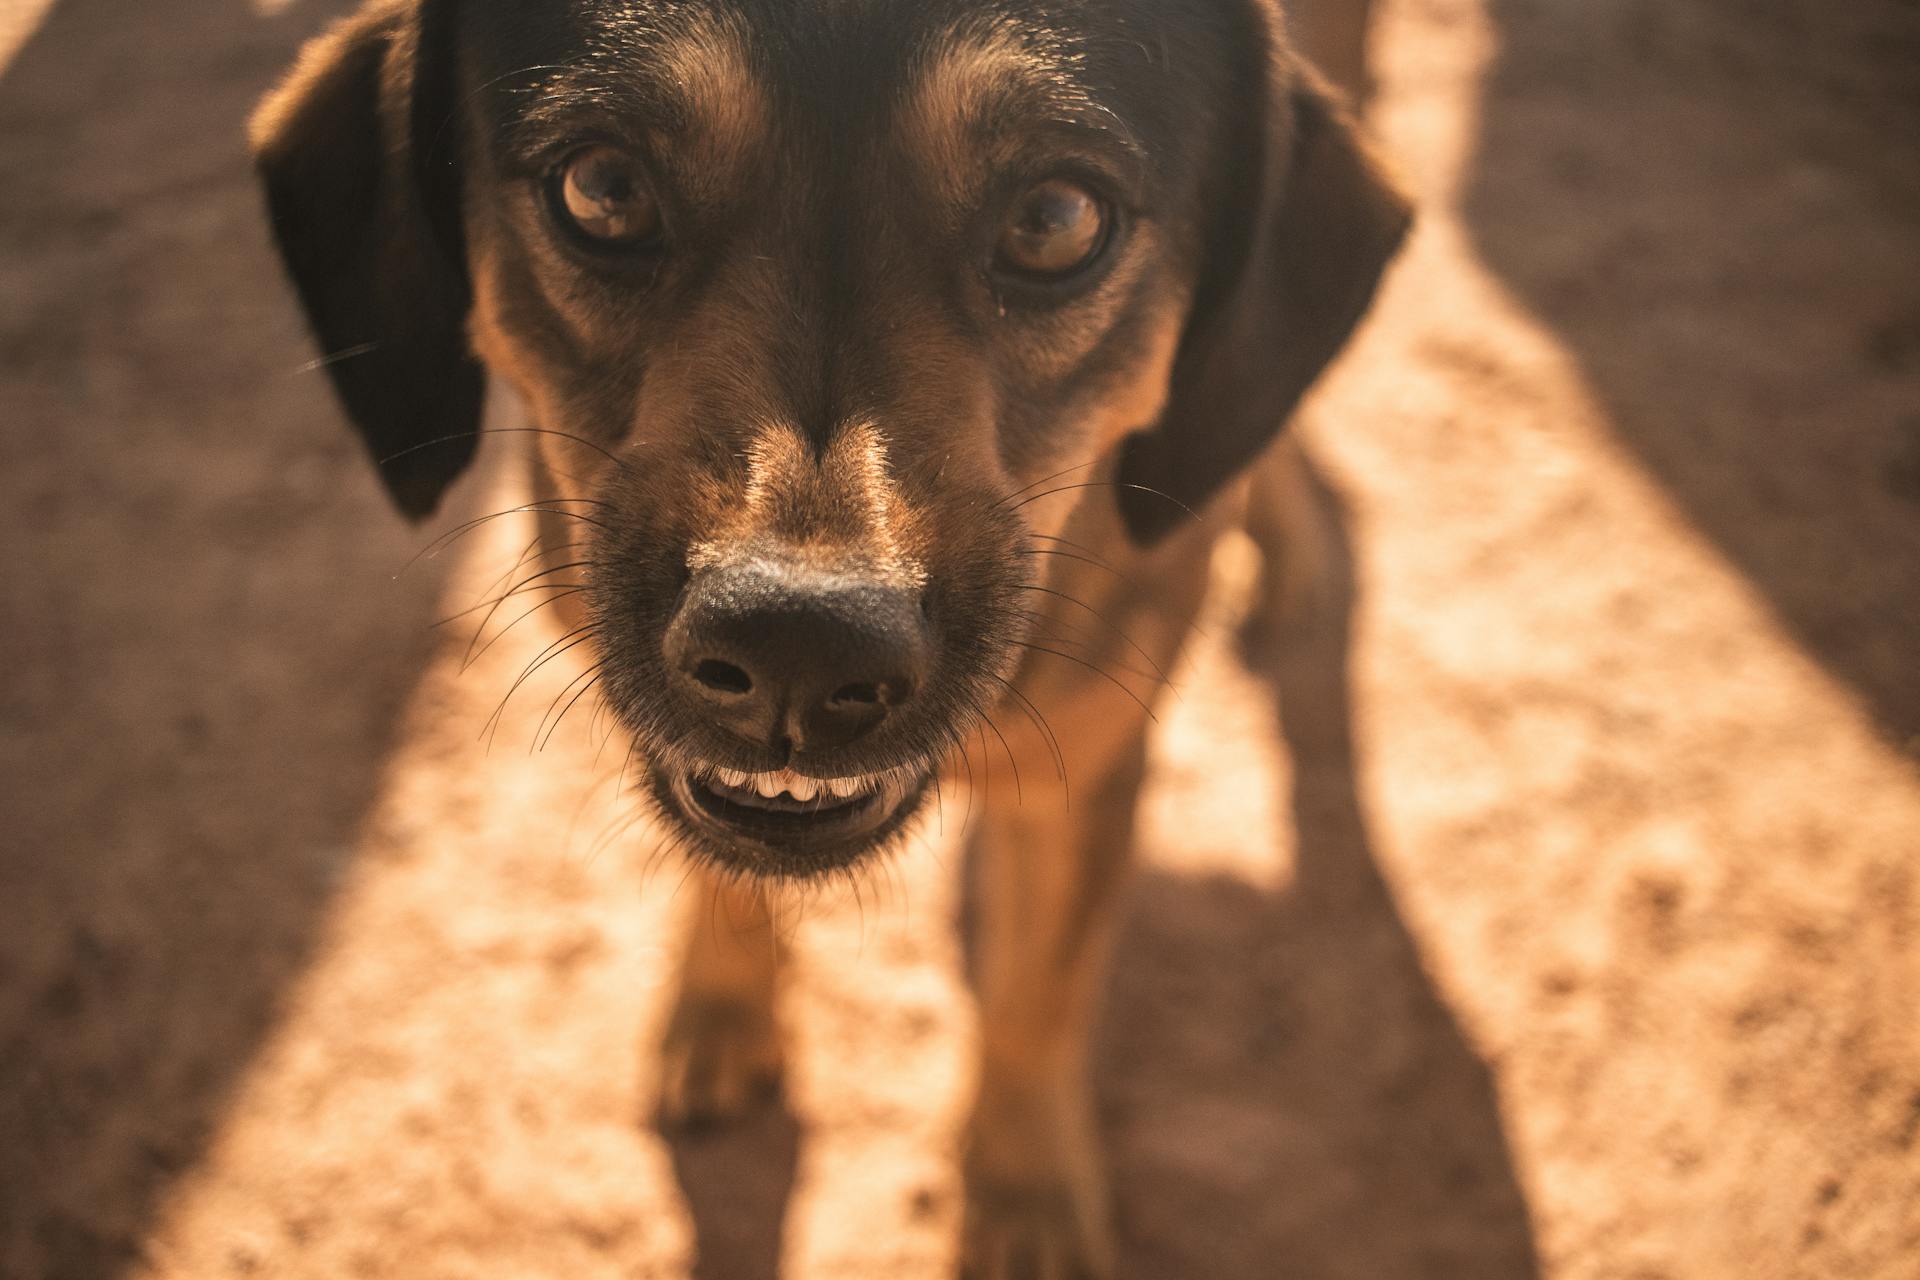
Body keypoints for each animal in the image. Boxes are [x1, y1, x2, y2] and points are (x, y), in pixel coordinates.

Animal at [247, 0, 1405, 1274]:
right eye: (603, 188)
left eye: (1056, 221)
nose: (797, 645)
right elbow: (720, 867)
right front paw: (721, 1005)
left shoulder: (1092, 765)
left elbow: (1038, 999)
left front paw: (1026, 1195)